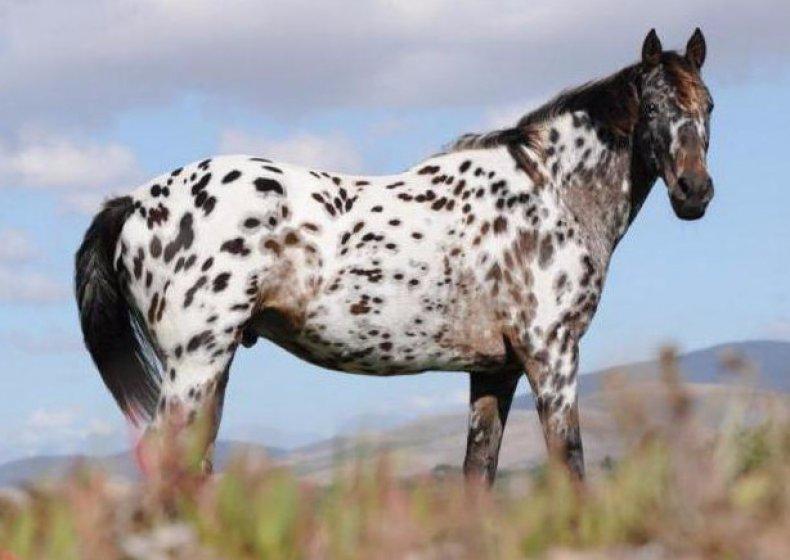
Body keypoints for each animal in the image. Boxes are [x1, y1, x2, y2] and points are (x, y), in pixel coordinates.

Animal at [76, 28, 714, 483]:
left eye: (708, 105)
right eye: (651, 109)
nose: (695, 192)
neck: (551, 189)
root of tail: (132, 203)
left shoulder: (495, 370)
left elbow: (478, 475)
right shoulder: (551, 356)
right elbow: (570, 464)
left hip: (211, 364)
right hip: (195, 363)